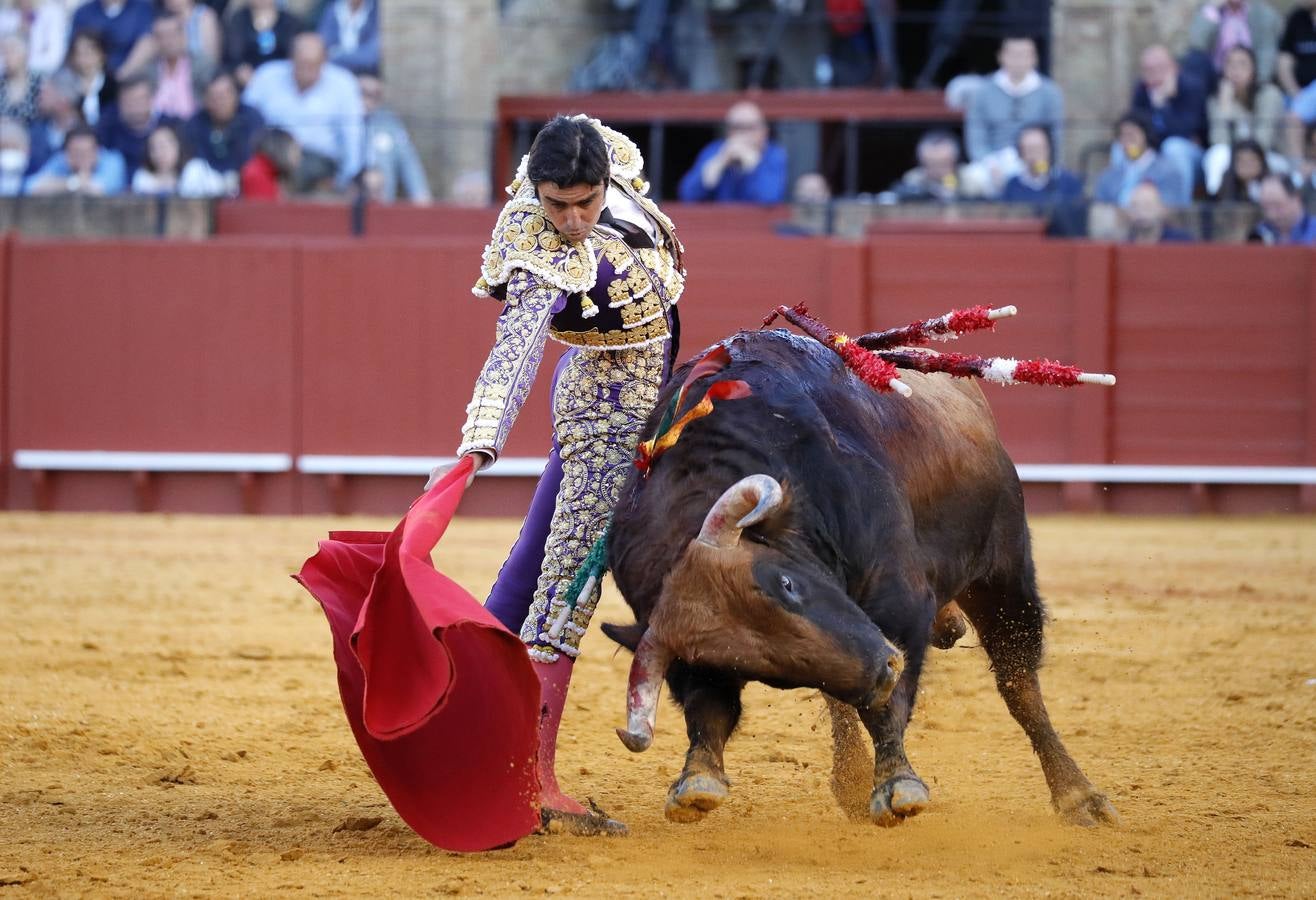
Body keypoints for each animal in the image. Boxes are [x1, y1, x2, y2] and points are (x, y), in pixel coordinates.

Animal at [602, 328, 1115, 831]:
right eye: (759, 669)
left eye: (787, 584)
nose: (882, 670)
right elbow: (709, 707)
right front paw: (698, 778)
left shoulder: (900, 599)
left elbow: (892, 703)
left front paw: (897, 784)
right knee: (843, 696)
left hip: (1003, 568)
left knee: (1018, 681)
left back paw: (1080, 796)